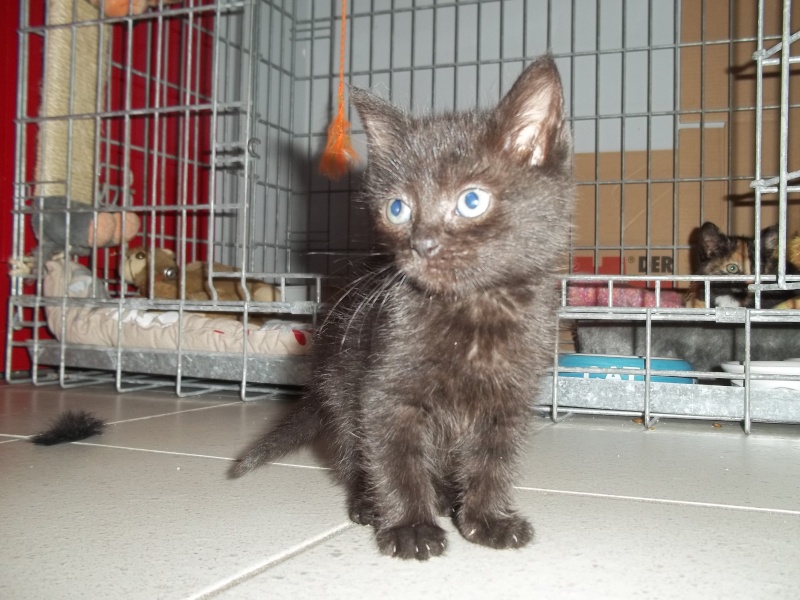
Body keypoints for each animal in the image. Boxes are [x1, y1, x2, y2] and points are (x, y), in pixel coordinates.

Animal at [231, 54, 576, 560]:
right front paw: (410, 526)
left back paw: (449, 498)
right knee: (352, 450)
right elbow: (396, 458)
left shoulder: (509, 397)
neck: (472, 312)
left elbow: (493, 457)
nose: (422, 244)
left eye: (472, 200)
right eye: (398, 209)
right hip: (339, 381)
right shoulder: (385, 389)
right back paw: (367, 501)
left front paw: (486, 519)